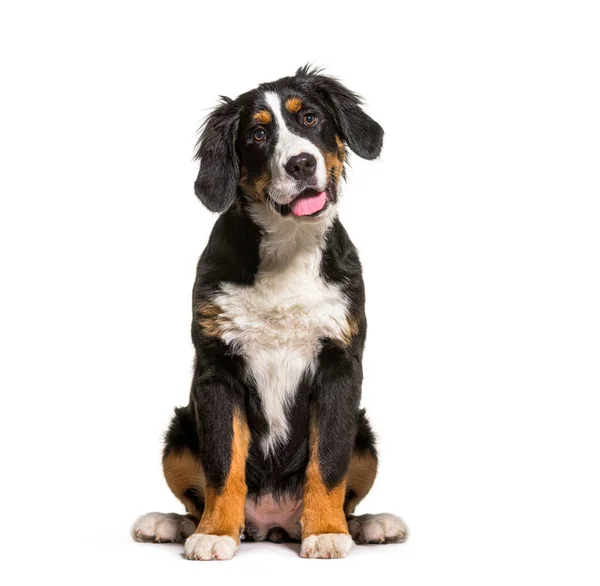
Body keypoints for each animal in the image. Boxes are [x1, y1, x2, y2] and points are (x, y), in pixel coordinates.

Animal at [134, 66, 408, 560]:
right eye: (258, 134)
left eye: (311, 118)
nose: (300, 164)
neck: (289, 245)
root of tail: (272, 524)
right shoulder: (217, 371)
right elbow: (223, 464)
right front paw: (215, 533)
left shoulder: (340, 369)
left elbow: (329, 464)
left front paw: (326, 532)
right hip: (179, 432)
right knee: (194, 497)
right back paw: (173, 524)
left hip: (365, 435)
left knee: (349, 494)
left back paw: (366, 525)